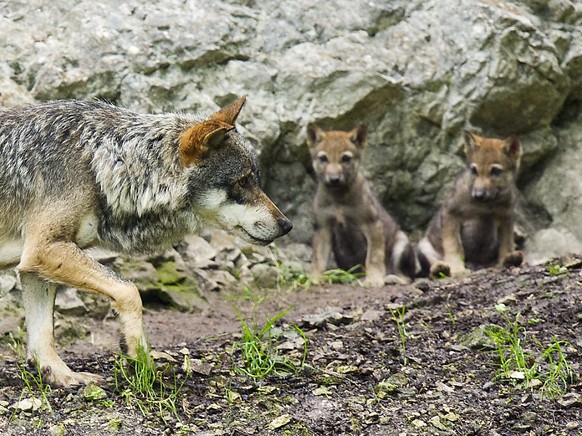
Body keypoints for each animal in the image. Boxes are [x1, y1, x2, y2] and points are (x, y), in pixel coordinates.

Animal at [0, 97, 292, 386]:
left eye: (255, 181)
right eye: (242, 182)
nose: (287, 225)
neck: (100, 163)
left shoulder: (34, 266)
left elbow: (43, 337)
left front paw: (62, 376)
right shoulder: (44, 249)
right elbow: (130, 291)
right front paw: (139, 356)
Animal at [308, 123, 418, 286]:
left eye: (345, 158)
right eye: (323, 158)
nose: (334, 179)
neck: (338, 199)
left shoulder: (372, 224)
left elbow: (373, 257)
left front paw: (373, 280)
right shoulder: (323, 227)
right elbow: (318, 257)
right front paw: (314, 278)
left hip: (401, 243)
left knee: (408, 277)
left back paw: (391, 278)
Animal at [418, 131, 528, 278]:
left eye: (495, 171)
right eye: (474, 170)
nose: (479, 195)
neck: (486, 205)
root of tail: (477, 266)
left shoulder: (506, 219)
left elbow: (506, 244)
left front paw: (507, 257)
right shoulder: (450, 215)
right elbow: (454, 246)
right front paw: (457, 269)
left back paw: (509, 260)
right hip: (424, 246)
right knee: (432, 269)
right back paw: (440, 268)